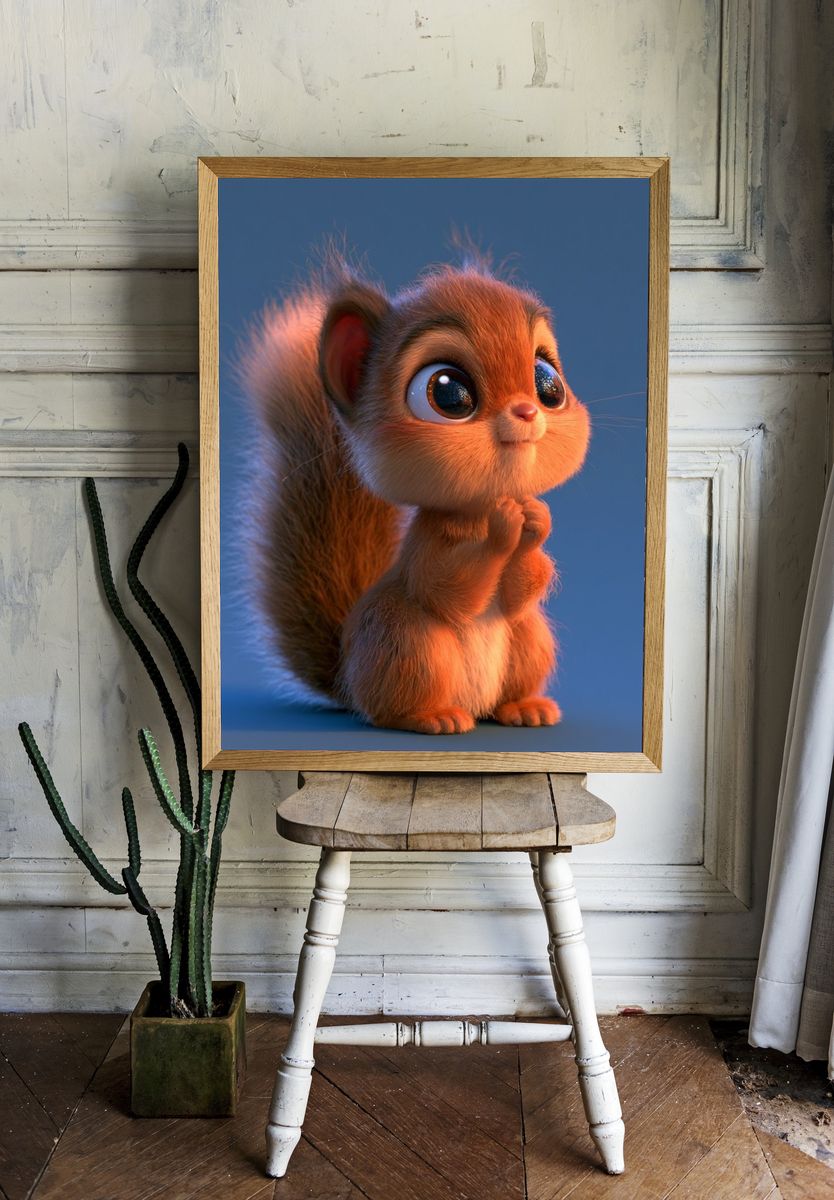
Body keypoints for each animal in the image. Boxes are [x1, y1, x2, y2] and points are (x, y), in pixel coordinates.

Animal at [239, 251, 591, 735]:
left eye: (548, 382)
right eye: (449, 392)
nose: (527, 411)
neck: (476, 512)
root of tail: (350, 680)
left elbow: (520, 590)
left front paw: (535, 520)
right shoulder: (428, 547)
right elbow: (449, 592)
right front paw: (505, 527)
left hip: (528, 639)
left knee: (514, 656)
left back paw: (524, 708)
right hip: (407, 643)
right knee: (392, 706)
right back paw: (431, 716)